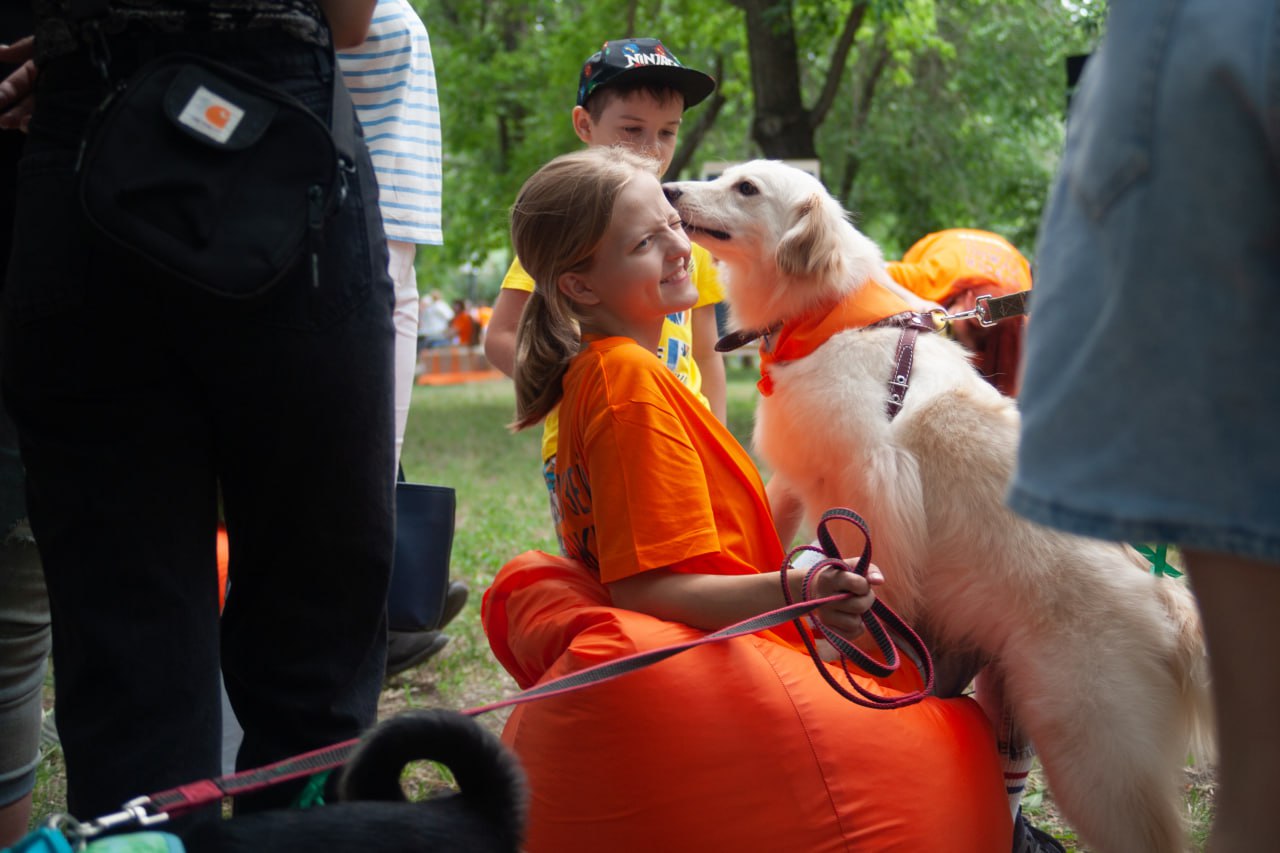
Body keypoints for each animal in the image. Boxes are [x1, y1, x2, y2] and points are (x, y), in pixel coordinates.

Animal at [665, 159, 1213, 850]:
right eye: (726, 176)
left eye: (745, 189)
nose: (669, 190)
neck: (828, 315)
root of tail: (1168, 600)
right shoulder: (797, 472)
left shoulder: (873, 479)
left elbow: (866, 575)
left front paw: (847, 642)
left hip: (1090, 757)